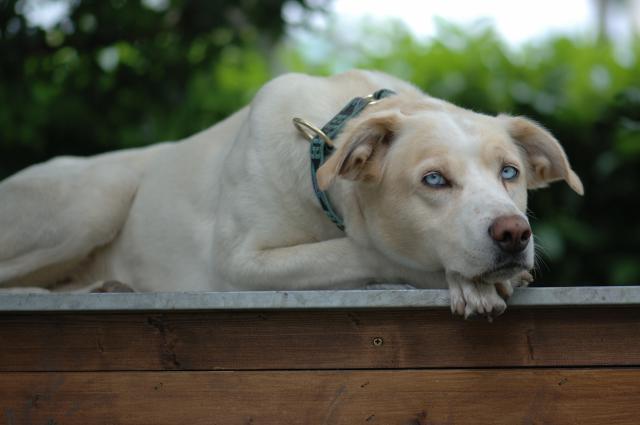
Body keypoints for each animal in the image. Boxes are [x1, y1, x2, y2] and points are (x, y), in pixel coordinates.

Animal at [0, 69, 584, 316]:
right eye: (434, 180)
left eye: (509, 172)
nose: (513, 234)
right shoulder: (239, 264)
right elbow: (363, 250)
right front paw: (469, 284)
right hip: (96, 197)